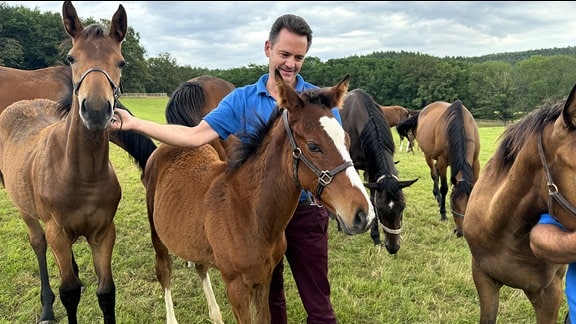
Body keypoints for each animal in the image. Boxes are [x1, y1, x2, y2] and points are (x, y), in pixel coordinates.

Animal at [0, 1, 127, 322]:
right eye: (71, 58)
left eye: (121, 62)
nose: (96, 111)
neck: (83, 174)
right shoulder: (56, 231)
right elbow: (69, 293)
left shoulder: (104, 232)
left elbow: (106, 293)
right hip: (26, 210)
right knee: (38, 243)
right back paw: (47, 307)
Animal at [145, 71, 374, 324]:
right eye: (314, 146)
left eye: (347, 140)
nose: (363, 214)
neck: (249, 211)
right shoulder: (235, 285)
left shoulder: (264, 278)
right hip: (157, 233)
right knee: (164, 270)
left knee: (200, 267)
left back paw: (215, 314)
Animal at [342, 89, 418, 253]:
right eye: (380, 210)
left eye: (402, 208)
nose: (393, 247)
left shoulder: (371, 170)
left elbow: (371, 197)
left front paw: (375, 237)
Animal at [398, 100, 480, 237]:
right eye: (452, 203)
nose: (460, 232)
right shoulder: (442, 161)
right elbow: (444, 188)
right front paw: (443, 213)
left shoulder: (475, 162)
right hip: (428, 156)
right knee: (434, 175)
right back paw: (438, 196)